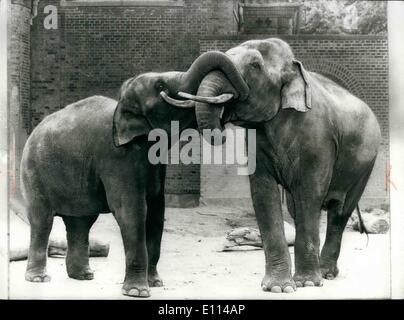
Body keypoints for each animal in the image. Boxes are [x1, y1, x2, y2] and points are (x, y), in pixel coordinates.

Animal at [181, 37, 382, 292]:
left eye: (255, 65)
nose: (223, 128)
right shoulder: (256, 142)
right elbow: (263, 193)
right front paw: (277, 287)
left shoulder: (318, 140)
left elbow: (309, 193)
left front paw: (306, 283)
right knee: (297, 209)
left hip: (365, 163)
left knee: (340, 211)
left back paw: (325, 274)